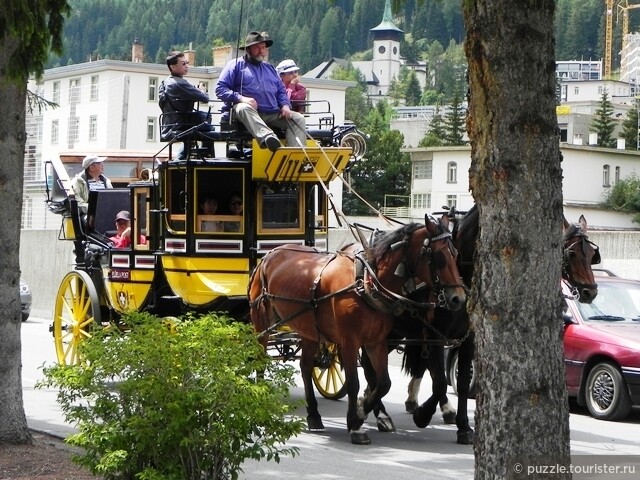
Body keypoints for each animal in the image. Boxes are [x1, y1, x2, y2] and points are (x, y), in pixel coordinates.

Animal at [249, 216, 464, 444]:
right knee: (260, 360)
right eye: (440, 257)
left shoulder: (376, 342)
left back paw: (314, 415)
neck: (366, 282)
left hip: (309, 329)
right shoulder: (349, 342)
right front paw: (356, 424)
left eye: (455, 254)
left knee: (306, 366)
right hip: (261, 322)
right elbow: (354, 382)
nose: (458, 299)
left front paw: (362, 411)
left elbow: (384, 383)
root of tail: (270, 254)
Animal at [368, 204, 596, 444]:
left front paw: (463, 426)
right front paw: (423, 414)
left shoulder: (467, 337)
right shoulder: (435, 336)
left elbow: (461, 379)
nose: (590, 291)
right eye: (571, 253)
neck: (462, 274)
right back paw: (381, 413)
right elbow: (440, 381)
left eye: (591, 254)